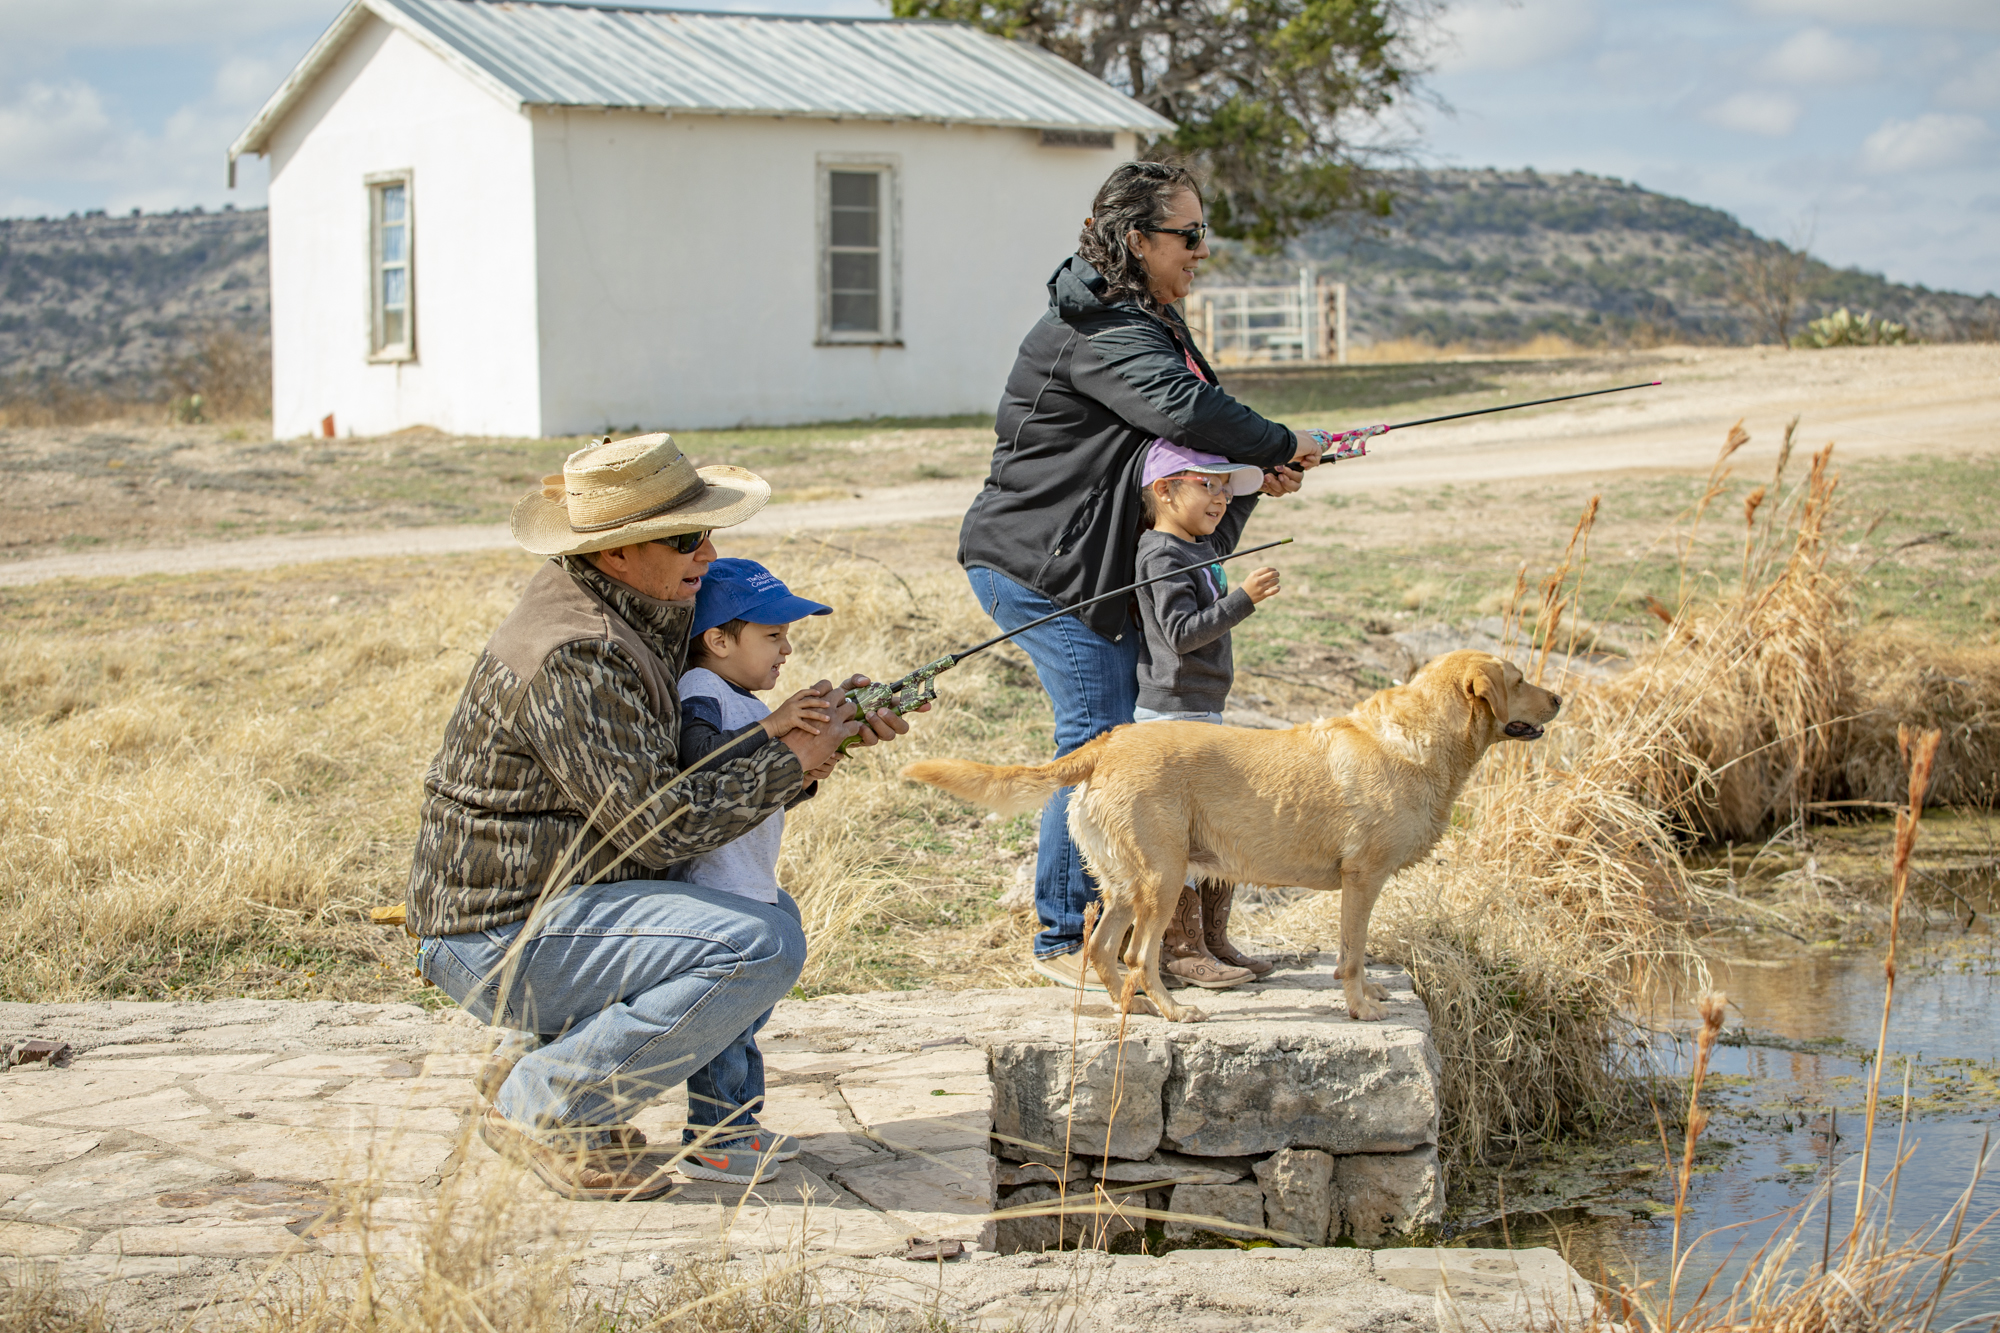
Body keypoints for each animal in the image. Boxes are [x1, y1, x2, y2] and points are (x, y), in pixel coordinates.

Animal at [904, 652, 1560, 1016]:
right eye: (1519, 679)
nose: (1559, 697)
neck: (1425, 740)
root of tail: (1106, 744)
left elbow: (1355, 956)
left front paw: (1371, 998)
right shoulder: (1362, 879)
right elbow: (1351, 956)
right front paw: (1361, 1008)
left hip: (1127, 885)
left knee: (1103, 950)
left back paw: (1130, 1007)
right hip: (1164, 879)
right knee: (1139, 955)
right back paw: (1175, 1014)